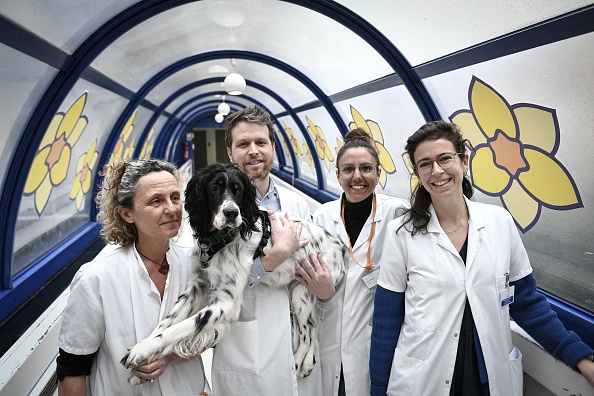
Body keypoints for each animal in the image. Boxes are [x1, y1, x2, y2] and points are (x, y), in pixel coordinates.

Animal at [122, 162, 344, 382]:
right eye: (214, 188)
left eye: (239, 191)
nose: (231, 213)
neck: (218, 240)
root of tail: (340, 247)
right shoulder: (196, 287)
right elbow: (166, 323)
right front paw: (143, 358)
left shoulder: (225, 303)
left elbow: (182, 326)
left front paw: (142, 351)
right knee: (311, 327)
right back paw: (307, 363)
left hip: (302, 291)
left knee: (308, 332)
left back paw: (300, 362)